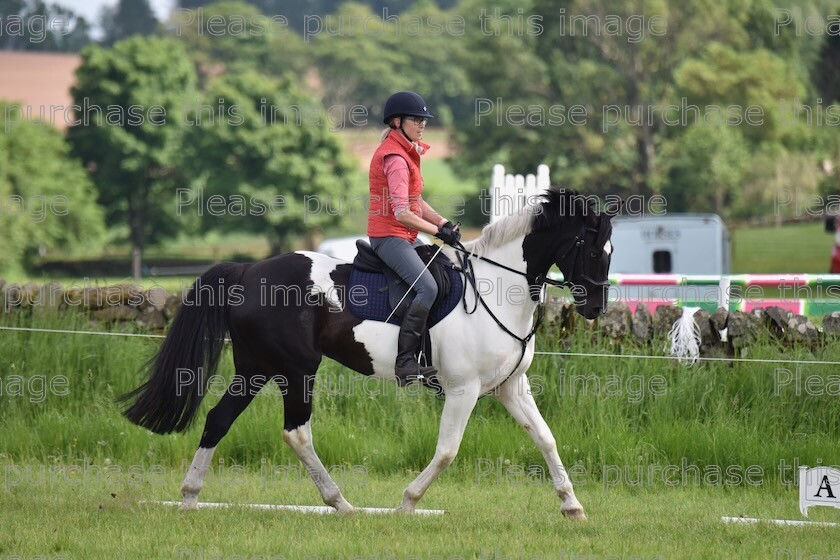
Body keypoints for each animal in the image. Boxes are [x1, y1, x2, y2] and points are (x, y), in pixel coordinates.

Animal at [120, 188, 616, 520]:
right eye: (592, 248)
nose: (594, 309)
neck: (497, 287)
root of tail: (248, 270)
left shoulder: (511, 387)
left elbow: (546, 438)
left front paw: (572, 505)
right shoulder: (463, 390)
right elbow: (447, 451)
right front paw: (407, 503)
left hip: (257, 368)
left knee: (218, 419)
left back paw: (190, 496)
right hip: (296, 370)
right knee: (297, 433)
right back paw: (340, 503)